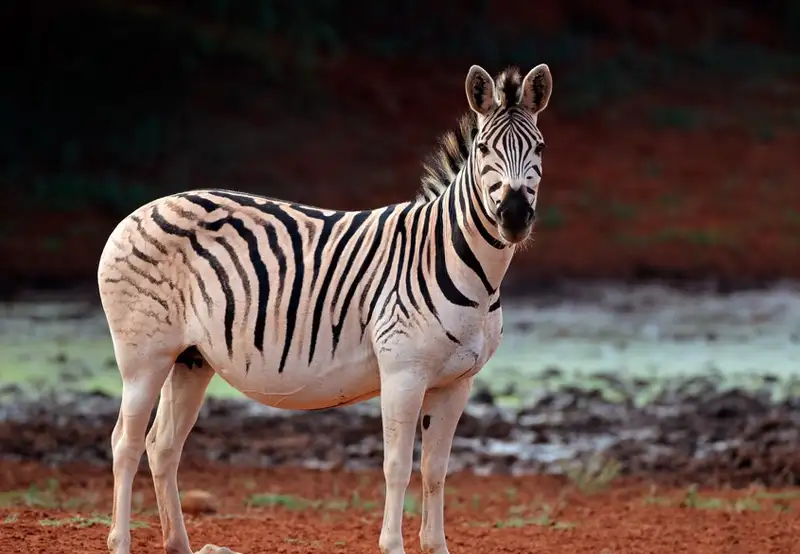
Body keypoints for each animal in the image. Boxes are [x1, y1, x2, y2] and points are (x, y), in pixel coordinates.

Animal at [98, 62, 552, 554]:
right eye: (484, 148)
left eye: (540, 147)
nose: (513, 216)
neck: (463, 264)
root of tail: (138, 212)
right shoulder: (403, 373)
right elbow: (397, 466)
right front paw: (392, 545)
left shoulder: (456, 383)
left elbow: (435, 470)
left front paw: (435, 546)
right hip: (144, 358)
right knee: (125, 443)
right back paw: (119, 542)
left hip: (191, 359)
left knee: (162, 446)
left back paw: (178, 544)